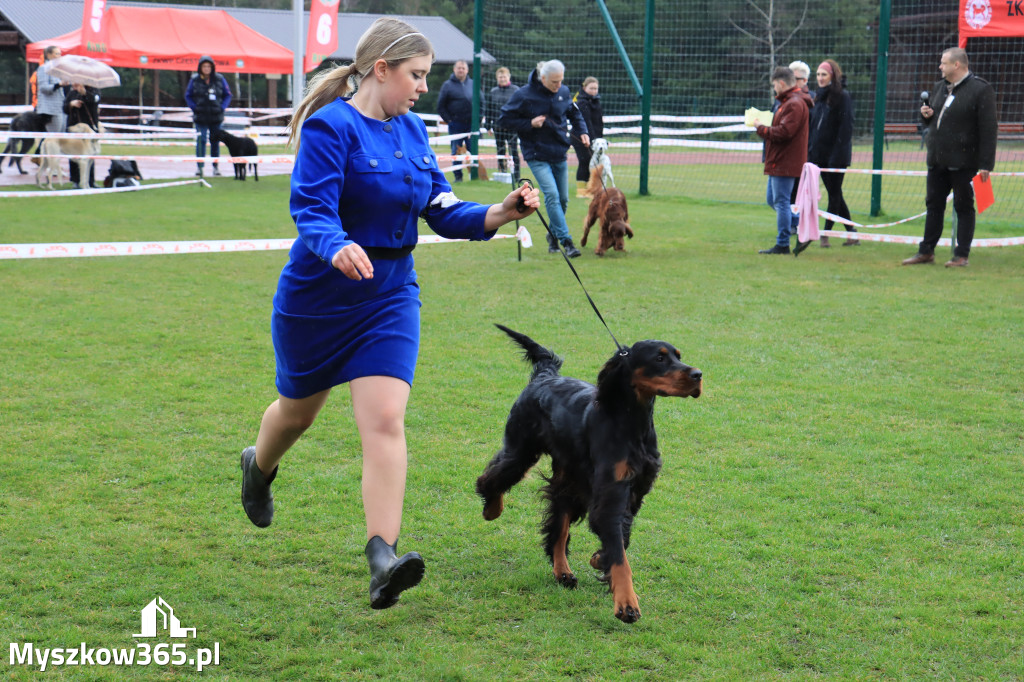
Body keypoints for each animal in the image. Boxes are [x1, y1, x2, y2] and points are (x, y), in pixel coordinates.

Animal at [477, 323, 704, 622]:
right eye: (659, 358)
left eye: (678, 356)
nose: (698, 375)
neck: (630, 422)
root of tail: (545, 375)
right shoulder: (611, 491)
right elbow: (619, 553)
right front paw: (626, 602)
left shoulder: (635, 490)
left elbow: (622, 538)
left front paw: (599, 558)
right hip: (522, 449)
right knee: (493, 476)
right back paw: (492, 509)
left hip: (568, 476)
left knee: (558, 521)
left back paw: (562, 571)